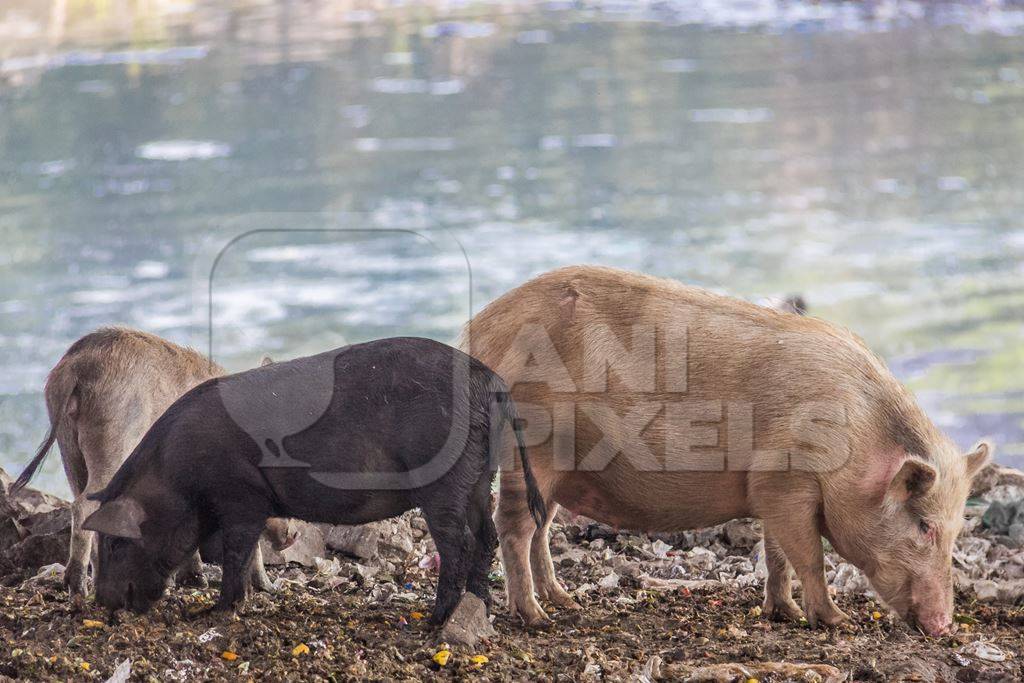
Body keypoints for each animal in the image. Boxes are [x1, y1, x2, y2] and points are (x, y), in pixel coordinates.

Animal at [12, 327, 292, 593]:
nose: (293, 535)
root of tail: (76, 367)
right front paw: (267, 587)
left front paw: (193, 581)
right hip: (112, 439)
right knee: (84, 506)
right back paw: (80, 591)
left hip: (68, 447)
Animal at [81, 337, 544, 626]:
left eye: (116, 542)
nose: (102, 602)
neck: (177, 477)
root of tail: (492, 382)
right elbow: (239, 553)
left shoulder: (240, 495)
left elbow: (234, 552)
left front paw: (216, 612)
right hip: (480, 475)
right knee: (485, 536)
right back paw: (478, 607)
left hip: (444, 479)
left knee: (459, 542)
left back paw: (434, 621)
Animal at [464, 266, 991, 634]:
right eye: (924, 526)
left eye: (956, 531)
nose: (944, 626)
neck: (858, 438)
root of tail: (477, 331)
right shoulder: (786, 481)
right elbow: (809, 557)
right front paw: (838, 621)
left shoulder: (774, 491)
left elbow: (777, 554)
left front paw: (784, 612)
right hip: (531, 448)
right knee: (513, 527)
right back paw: (538, 618)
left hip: (556, 470)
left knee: (541, 530)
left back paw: (565, 601)